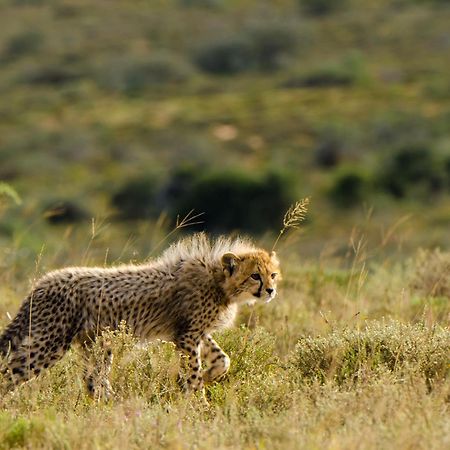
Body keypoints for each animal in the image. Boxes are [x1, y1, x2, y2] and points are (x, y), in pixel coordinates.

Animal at [0, 234, 280, 396]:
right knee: (10, 372)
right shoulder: (187, 335)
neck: (219, 280)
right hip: (50, 343)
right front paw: (198, 400)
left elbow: (223, 359)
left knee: (93, 380)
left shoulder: (190, 332)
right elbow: (193, 371)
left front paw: (210, 376)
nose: (270, 290)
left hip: (96, 343)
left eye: (273, 274)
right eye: (255, 275)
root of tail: (43, 281)